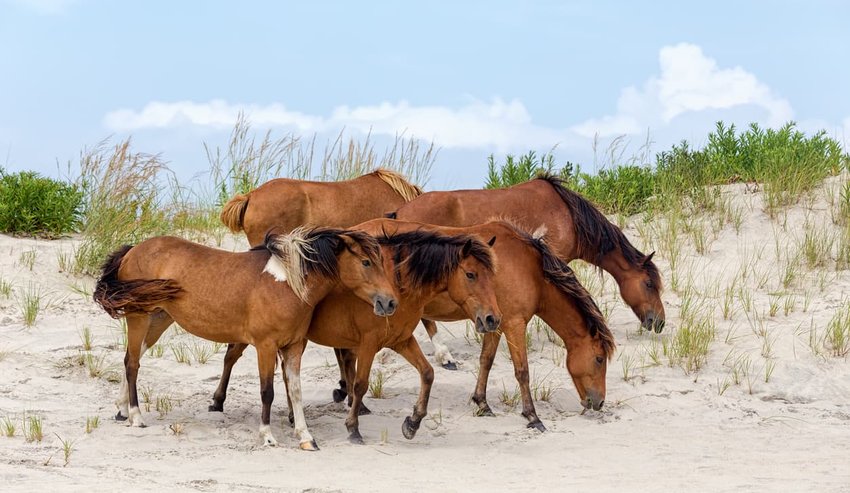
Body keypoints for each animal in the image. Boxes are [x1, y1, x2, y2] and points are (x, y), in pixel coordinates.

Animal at [93, 227, 398, 450]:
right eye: (366, 262)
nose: (389, 302)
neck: (287, 284)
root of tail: (133, 250)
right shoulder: (265, 346)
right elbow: (268, 392)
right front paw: (267, 436)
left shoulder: (294, 347)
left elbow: (295, 391)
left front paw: (306, 438)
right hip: (139, 317)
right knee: (133, 364)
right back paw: (136, 416)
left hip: (159, 318)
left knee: (130, 358)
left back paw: (121, 410)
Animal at [205, 219, 500, 442]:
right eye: (471, 274)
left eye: (492, 276)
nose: (492, 319)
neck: (398, 285)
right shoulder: (369, 343)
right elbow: (360, 384)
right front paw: (353, 428)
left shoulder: (402, 340)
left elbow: (427, 374)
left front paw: (413, 422)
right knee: (231, 356)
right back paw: (218, 401)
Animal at [328, 219, 612, 430]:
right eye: (599, 359)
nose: (599, 402)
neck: (530, 268)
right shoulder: (514, 324)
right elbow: (522, 371)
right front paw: (533, 416)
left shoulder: (494, 322)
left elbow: (486, 360)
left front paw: (482, 403)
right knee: (347, 354)